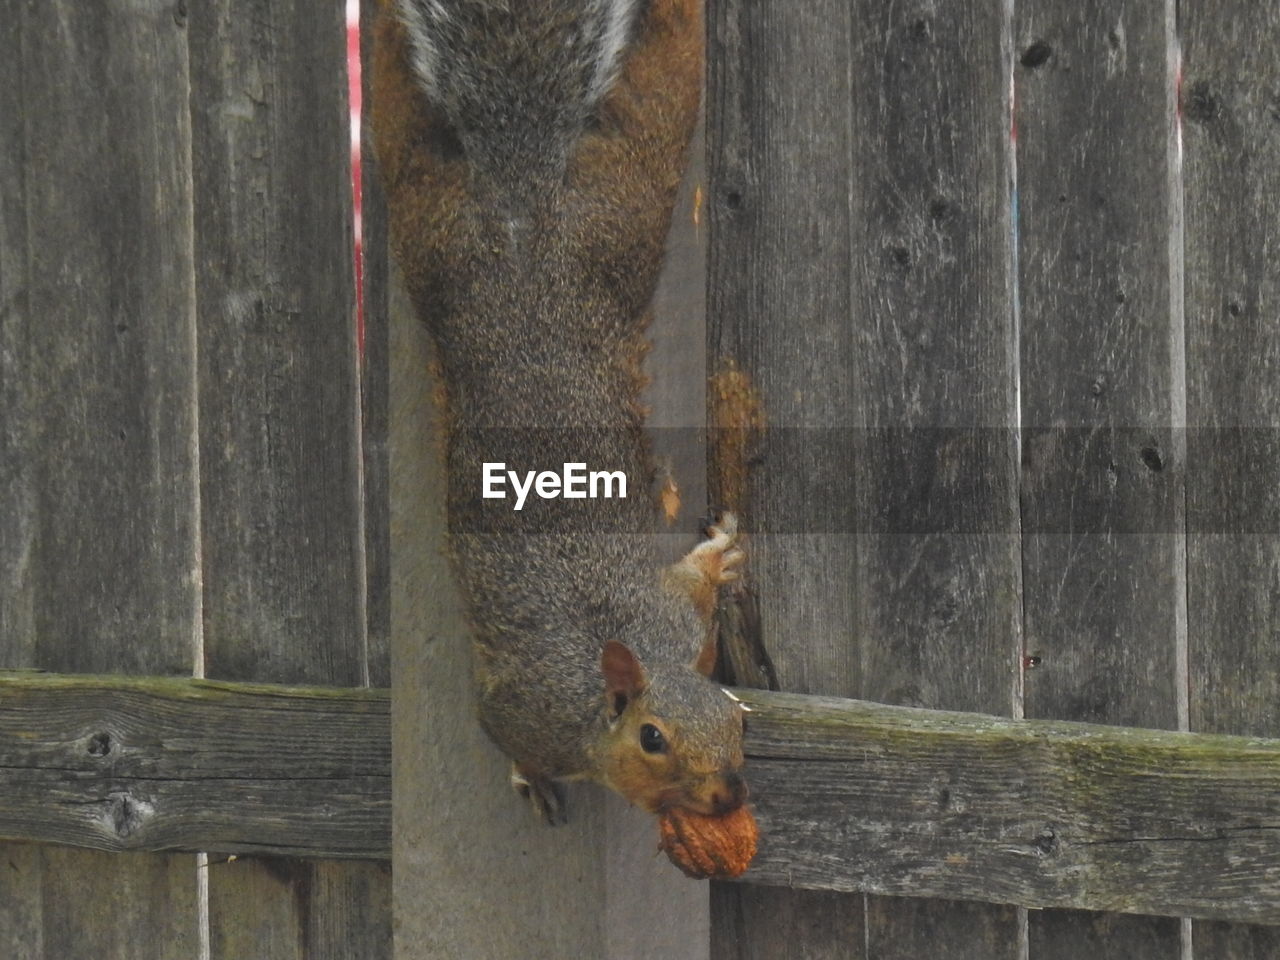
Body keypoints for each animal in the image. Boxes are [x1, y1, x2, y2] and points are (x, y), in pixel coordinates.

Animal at [368, 0, 747, 829]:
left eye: (737, 716)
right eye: (652, 739)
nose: (729, 793)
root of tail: (522, 208)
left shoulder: (676, 619)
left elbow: (691, 585)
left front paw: (720, 558)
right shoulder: (522, 713)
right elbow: (507, 739)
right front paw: (534, 781)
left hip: (540, 220)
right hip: (596, 203)